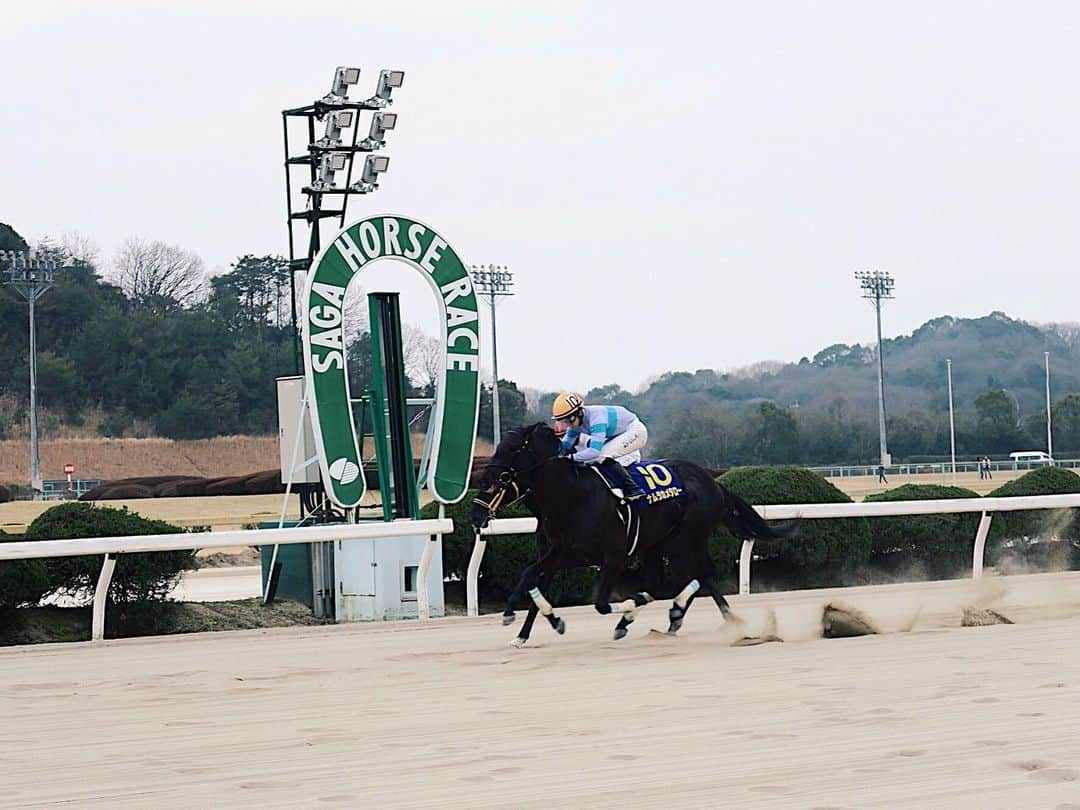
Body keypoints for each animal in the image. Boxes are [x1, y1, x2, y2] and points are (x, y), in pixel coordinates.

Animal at [468, 425, 799, 648]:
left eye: (512, 449)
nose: (475, 515)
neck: (572, 495)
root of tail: (712, 481)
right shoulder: (562, 553)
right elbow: (530, 578)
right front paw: (522, 627)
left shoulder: (612, 556)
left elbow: (601, 603)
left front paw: (623, 614)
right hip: (658, 543)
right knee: (682, 578)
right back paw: (686, 617)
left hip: (684, 538)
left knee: (695, 575)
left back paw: (704, 616)